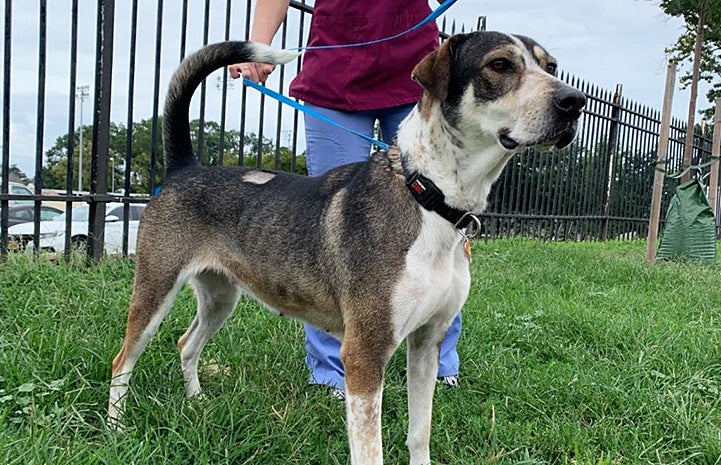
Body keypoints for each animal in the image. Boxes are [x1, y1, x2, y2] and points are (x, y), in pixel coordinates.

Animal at [108, 32, 584, 464]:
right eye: (500, 65)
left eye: (552, 66)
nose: (574, 101)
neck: (428, 198)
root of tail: (184, 169)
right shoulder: (364, 356)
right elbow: (370, 450)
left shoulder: (427, 345)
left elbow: (420, 433)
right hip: (155, 289)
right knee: (122, 361)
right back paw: (116, 427)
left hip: (221, 297)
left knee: (186, 343)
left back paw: (196, 402)